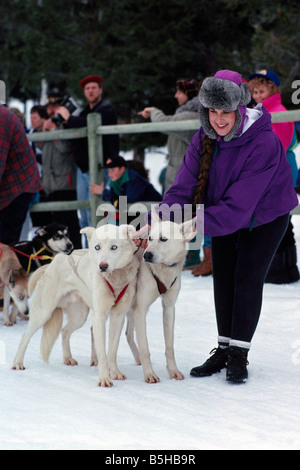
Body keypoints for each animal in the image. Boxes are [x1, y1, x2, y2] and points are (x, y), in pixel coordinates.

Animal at [13, 226, 140, 388]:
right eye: (97, 247)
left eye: (114, 247)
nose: (102, 266)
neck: (115, 279)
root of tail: (51, 265)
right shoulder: (99, 317)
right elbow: (102, 353)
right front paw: (104, 378)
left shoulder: (118, 316)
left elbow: (112, 350)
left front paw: (115, 372)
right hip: (44, 313)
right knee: (25, 336)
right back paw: (17, 363)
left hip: (79, 317)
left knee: (65, 331)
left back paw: (68, 358)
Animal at [126, 213, 198, 382]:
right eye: (150, 238)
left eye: (163, 239)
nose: (146, 255)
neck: (163, 270)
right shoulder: (141, 308)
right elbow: (145, 347)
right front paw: (149, 374)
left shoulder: (169, 307)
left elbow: (169, 346)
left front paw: (173, 370)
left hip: (130, 309)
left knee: (128, 334)